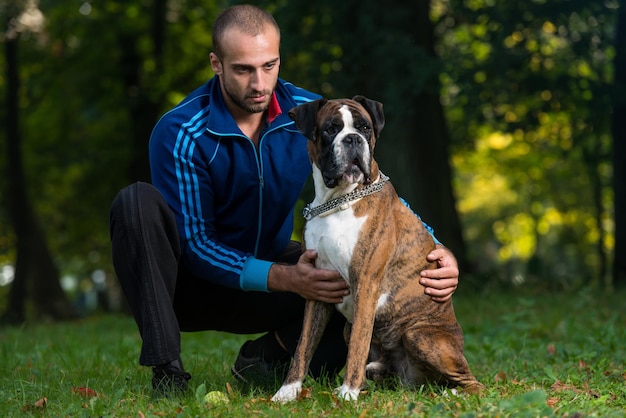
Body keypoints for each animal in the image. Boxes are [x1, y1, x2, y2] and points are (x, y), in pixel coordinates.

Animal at [270, 96, 482, 404]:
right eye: (330, 129)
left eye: (365, 128)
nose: (353, 139)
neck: (337, 202)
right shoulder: (316, 289)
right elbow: (302, 347)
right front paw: (287, 391)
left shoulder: (366, 285)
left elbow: (357, 348)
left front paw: (348, 392)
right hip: (354, 330)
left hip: (420, 335)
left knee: (473, 383)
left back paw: (451, 392)